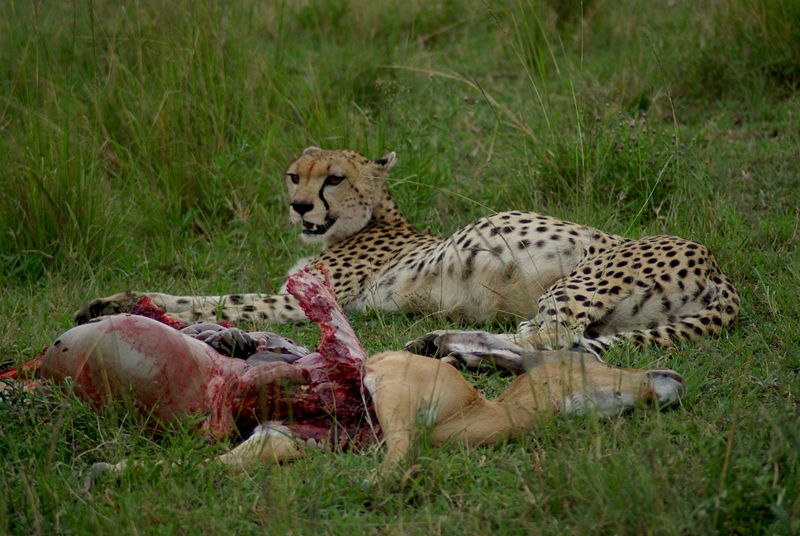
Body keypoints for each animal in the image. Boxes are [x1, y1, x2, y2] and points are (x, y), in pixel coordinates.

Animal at [76, 147, 744, 360]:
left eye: (333, 179)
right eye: (294, 175)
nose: (299, 206)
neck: (371, 220)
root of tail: (719, 266)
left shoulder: (299, 302)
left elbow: (215, 299)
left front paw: (128, 305)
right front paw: (110, 304)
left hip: (574, 283)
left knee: (549, 340)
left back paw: (444, 345)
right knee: (561, 341)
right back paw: (441, 342)